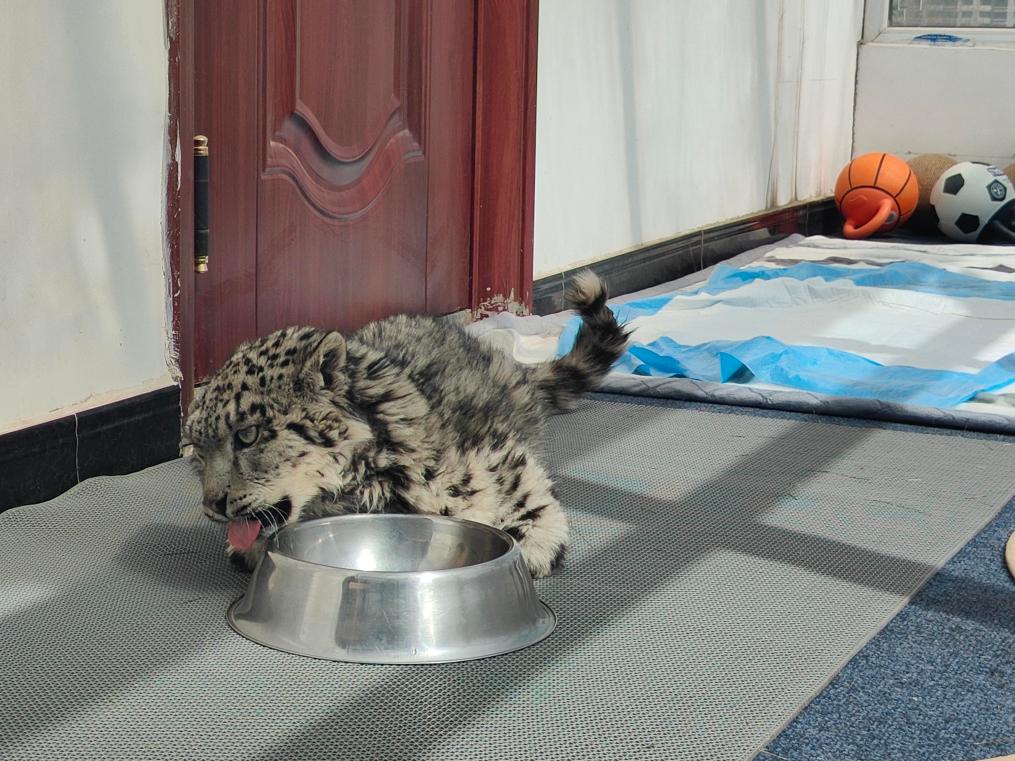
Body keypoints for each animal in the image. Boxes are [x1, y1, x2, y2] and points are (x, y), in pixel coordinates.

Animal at [181, 271, 627, 578]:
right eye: (196, 450)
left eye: (248, 434)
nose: (213, 505)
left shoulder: (497, 458)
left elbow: (529, 495)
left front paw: (535, 545)